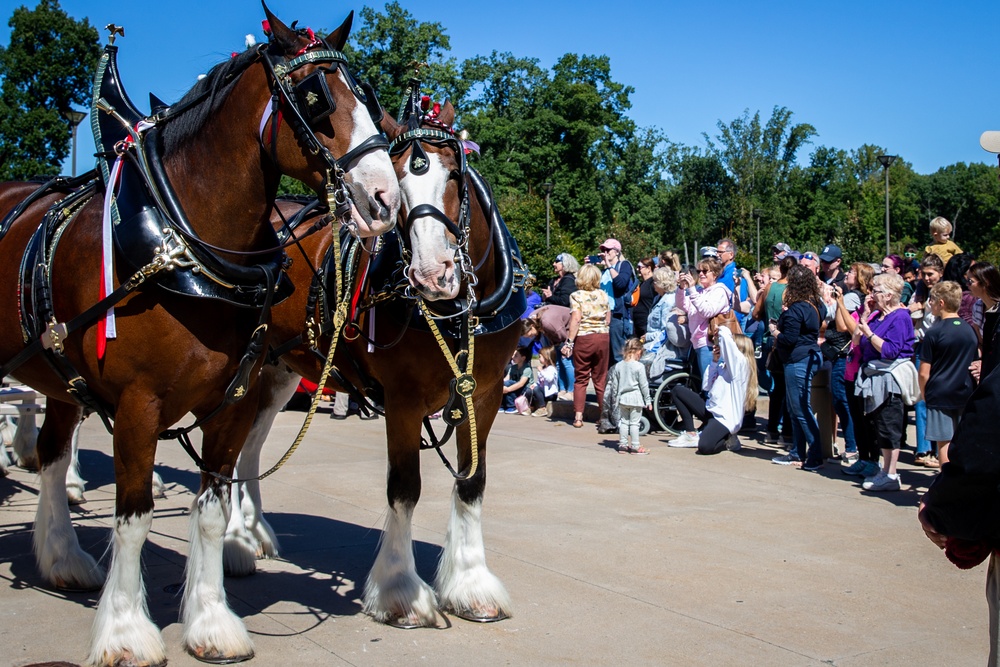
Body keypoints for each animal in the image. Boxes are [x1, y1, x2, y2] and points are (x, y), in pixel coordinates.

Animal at [3, 6, 400, 667]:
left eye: (369, 98)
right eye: (315, 98)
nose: (385, 199)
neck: (186, 246)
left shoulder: (230, 401)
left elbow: (211, 511)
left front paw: (212, 622)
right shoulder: (138, 406)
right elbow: (134, 517)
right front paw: (125, 631)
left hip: (62, 376)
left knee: (55, 455)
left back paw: (62, 556)